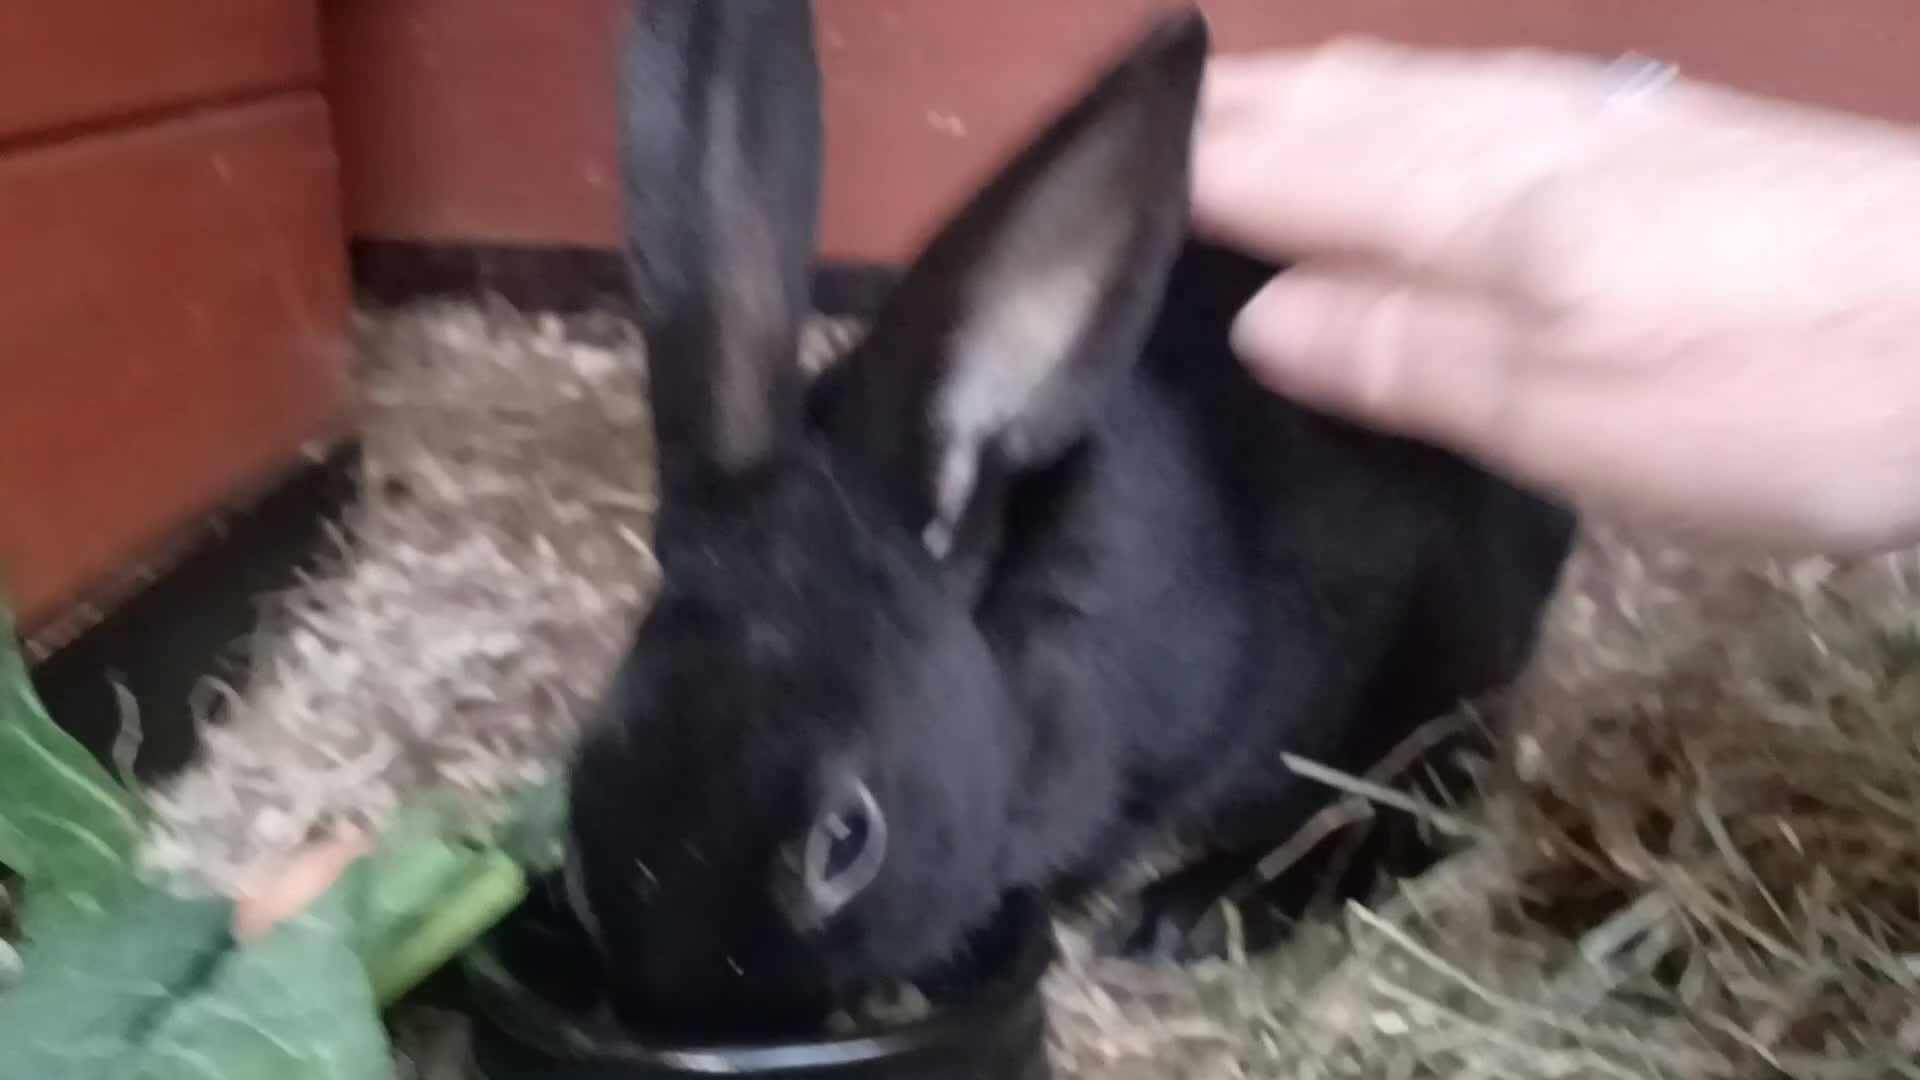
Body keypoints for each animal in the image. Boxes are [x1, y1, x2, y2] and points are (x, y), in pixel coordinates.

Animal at [563, 0, 1577, 1042]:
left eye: (845, 840)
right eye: (585, 771)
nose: (689, 1018)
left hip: (1438, 664)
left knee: (1410, 805)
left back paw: (1192, 912)